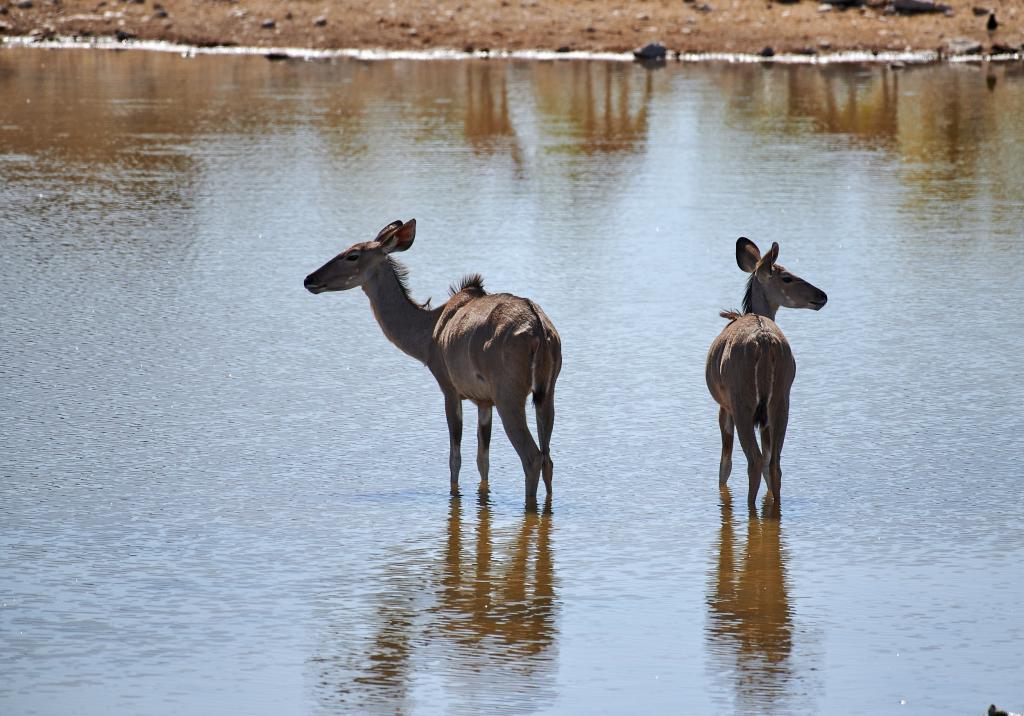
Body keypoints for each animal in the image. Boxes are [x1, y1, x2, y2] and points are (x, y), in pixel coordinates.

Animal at [303, 218, 561, 503]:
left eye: (353, 255)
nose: (309, 279)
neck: (430, 329)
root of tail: (539, 329)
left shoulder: (450, 391)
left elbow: (455, 457)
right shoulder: (484, 402)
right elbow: (482, 459)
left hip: (510, 398)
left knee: (532, 457)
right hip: (545, 396)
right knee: (548, 458)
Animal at [708, 240, 827, 510]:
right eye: (787, 277)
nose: (822, 296)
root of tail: (764, 342)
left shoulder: (724, 408)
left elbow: (724, 466)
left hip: (744, 404)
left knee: (755, 461)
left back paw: (752, 510)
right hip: (780, 402)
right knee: (773, 464)